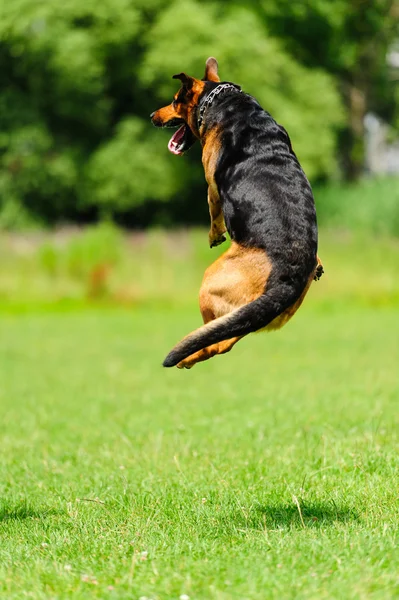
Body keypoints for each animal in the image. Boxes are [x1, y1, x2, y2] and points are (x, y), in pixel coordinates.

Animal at [152, 59, 324, 370]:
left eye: (173, 101)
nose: (152, 116)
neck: (222, 101)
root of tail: (287, 280)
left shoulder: (210, 183)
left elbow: (214, 213)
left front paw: (215, 235)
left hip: (211, 280)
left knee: (216, 341)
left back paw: (187, 356)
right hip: (253, 314)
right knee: (226, 338)